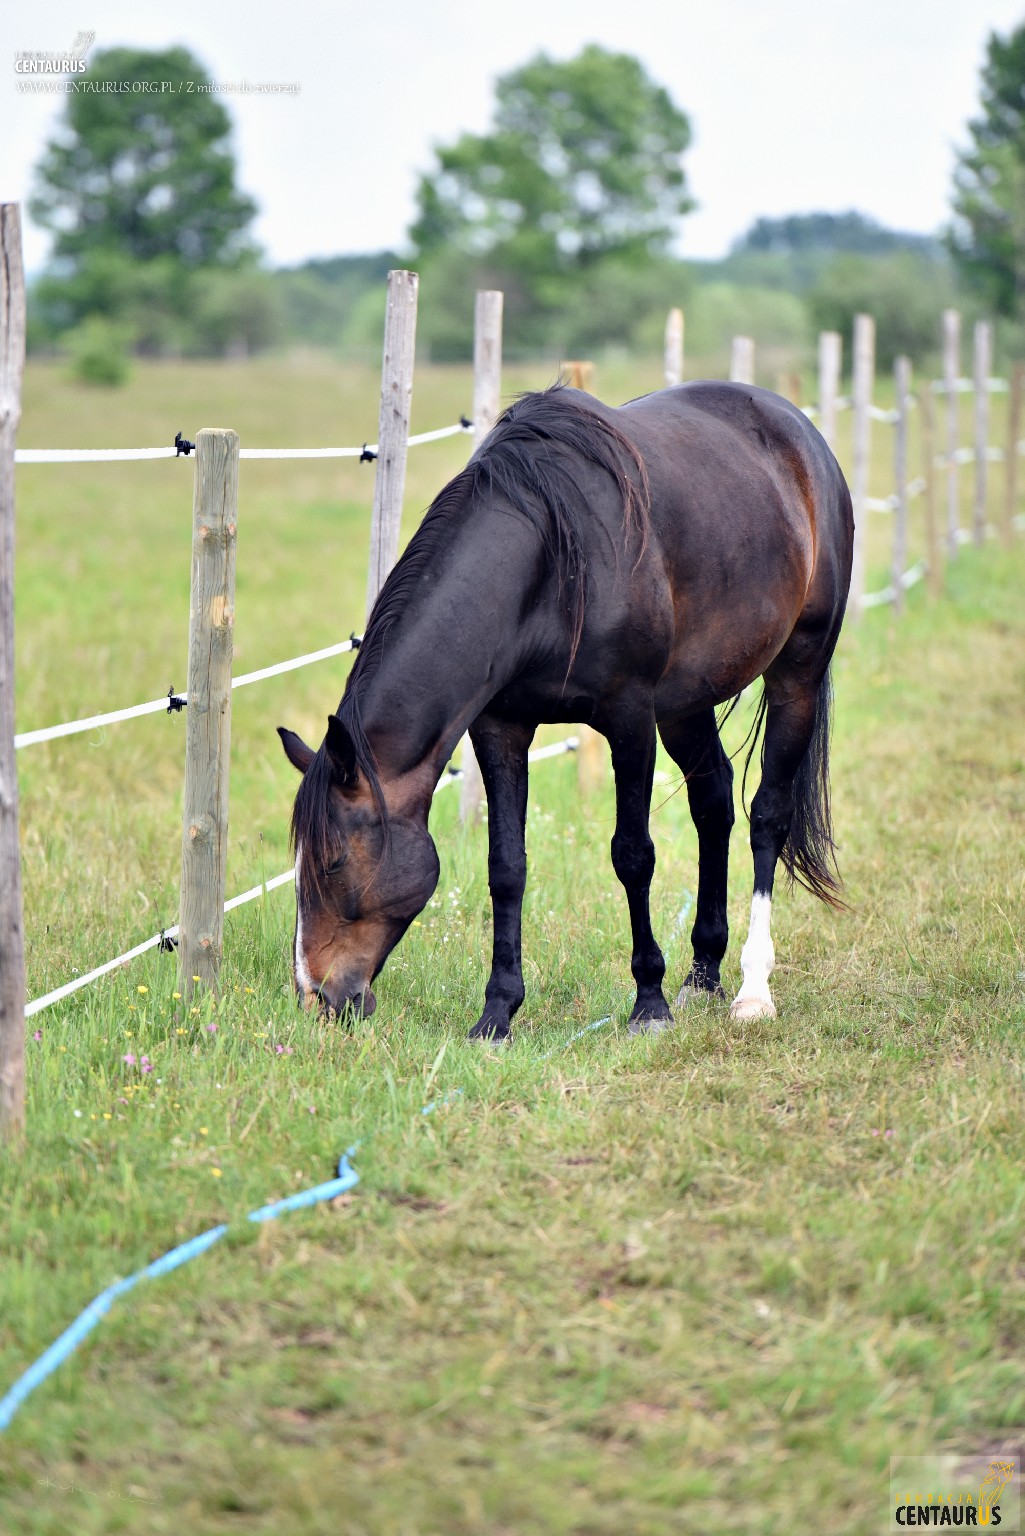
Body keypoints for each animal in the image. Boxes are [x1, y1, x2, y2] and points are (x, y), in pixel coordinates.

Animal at [276, 377, 854, 1038]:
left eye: (333, 864)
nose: (318, 996)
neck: (547, 565)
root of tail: (801, 434)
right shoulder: (500, 727)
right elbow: (506, 867)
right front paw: (497, 1013)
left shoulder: (630, 720)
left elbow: (633, 855)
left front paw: (648, 1002)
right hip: (687, 702)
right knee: (713, 803)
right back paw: (703, 974)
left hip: (796, 673)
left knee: (767, 816)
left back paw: (752, 990)